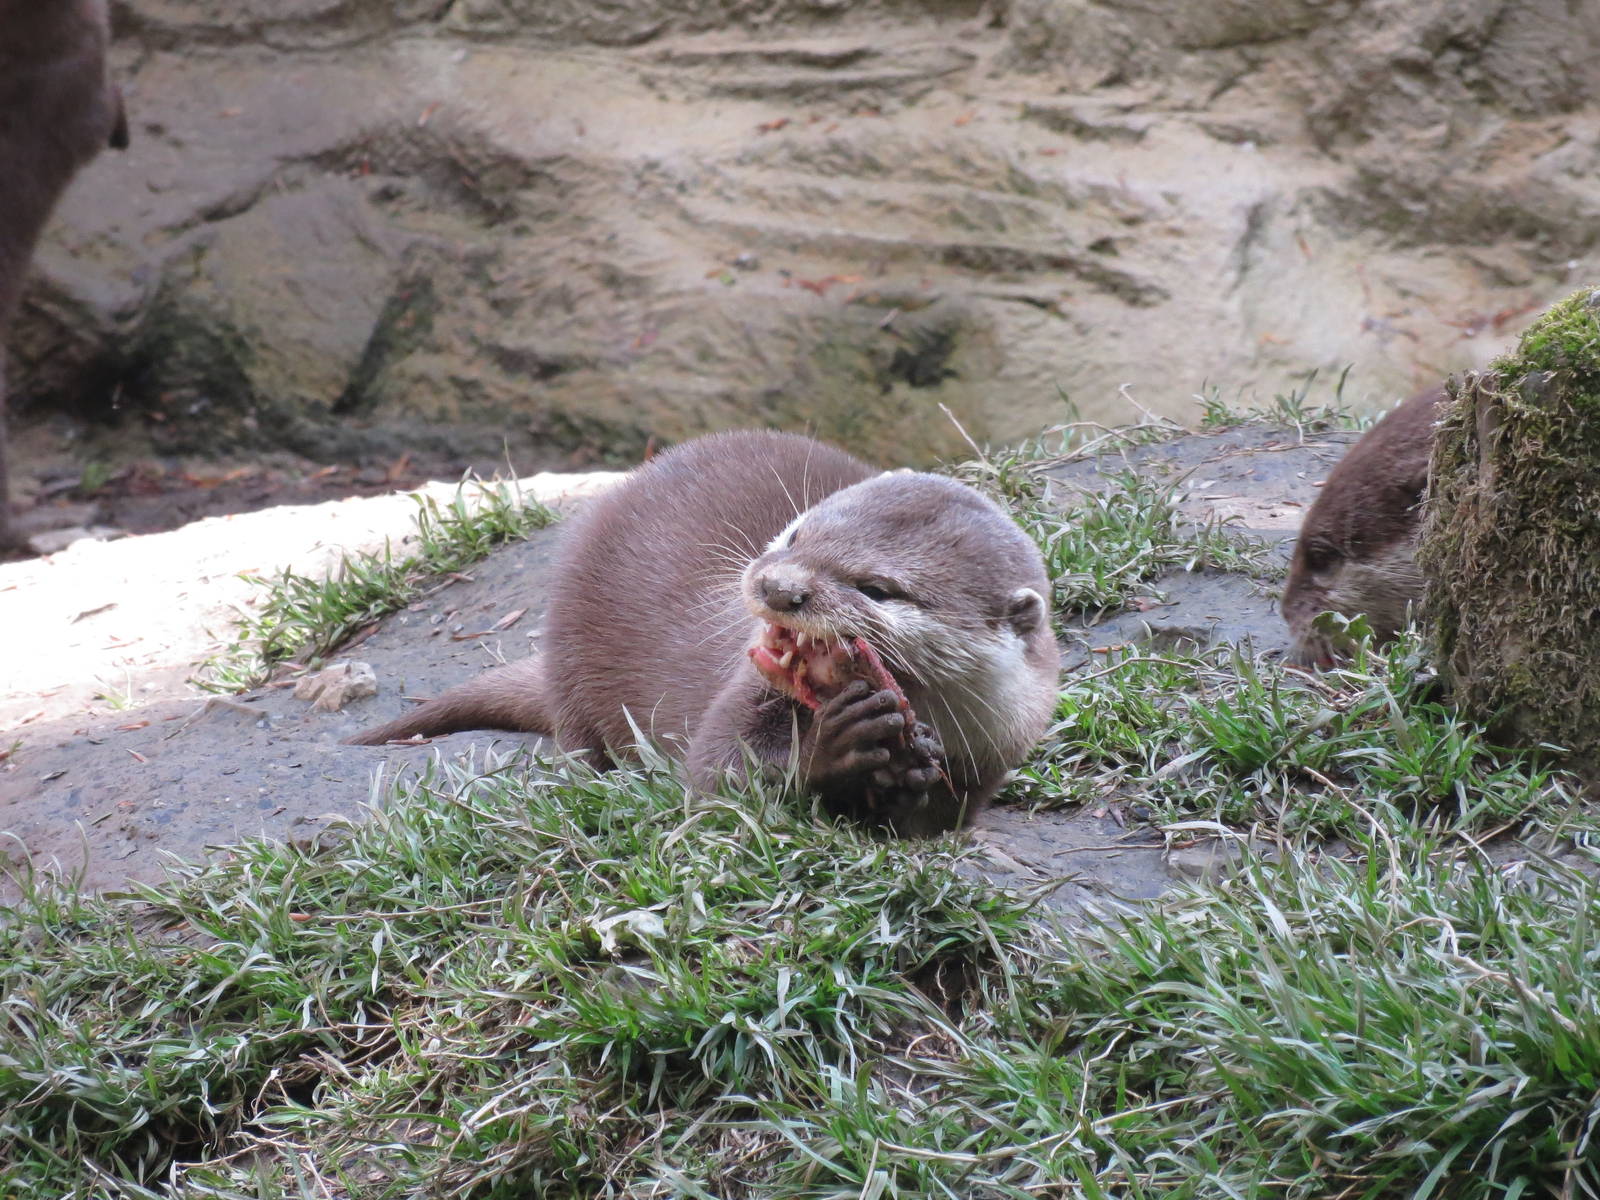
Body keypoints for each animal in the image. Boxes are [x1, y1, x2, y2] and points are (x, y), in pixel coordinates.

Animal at [350, 431, 1060, 835]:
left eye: (879, 589)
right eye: (796, 533)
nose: (778, 588)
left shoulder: (996, 750)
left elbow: (937, 823)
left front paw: (905, 778)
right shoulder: (743, 689)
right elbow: (716, 771)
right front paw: (835, 743)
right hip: (570, 648)